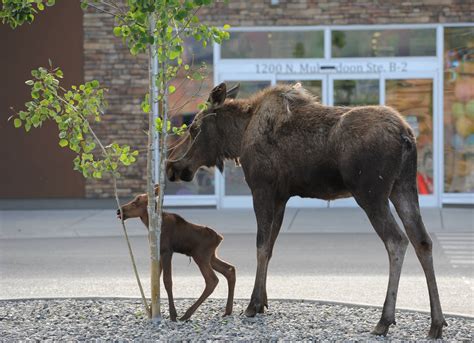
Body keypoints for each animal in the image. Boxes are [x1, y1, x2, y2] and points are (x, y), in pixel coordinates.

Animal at [115, 187, 233, 322]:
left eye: (136, 202)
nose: (119, 211)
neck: (150, 224)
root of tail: (220, 238)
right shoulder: (159, 252)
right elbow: (155, 280)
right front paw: (152, 311)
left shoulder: (167, 251)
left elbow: (167, 280)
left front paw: (172, 314)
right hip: (211, 256)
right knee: (230, 270)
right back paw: (228, 311)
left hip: (200, 256)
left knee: (212, 280)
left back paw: (187, 314)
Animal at [165, 82, 446, 338]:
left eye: (194, 128)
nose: (172, 166)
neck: (238, 137)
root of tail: (406, 135)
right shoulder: (281, 197)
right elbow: (270, 247)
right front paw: (263, 301)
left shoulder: (262, 189)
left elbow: (261, 245)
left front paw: (253, 305)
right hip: (403, 186)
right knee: (422, 240)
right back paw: (436, 324)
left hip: (370, 193)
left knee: (396, 240)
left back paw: (384, 320)